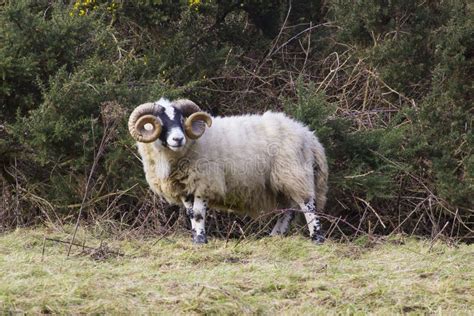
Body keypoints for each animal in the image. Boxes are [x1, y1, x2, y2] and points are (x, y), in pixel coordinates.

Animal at [128, 97, 328, 243]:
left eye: (181, 120)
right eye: (161, 123)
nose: (178, 139)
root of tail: (309, 135)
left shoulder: (205, 182)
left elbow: (199, 213)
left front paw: (200, 240)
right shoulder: (184, 186)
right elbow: (191, 213)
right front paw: (195, 237)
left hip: (294, 173)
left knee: (308, 205)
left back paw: (316, 238)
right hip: (281, 180)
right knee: (289, 209)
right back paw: (275, 235)